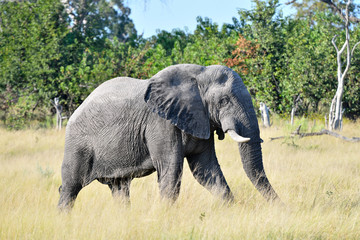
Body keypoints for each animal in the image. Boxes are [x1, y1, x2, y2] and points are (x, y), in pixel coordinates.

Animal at [57, 63, 280, 210]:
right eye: (224, 101)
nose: (282, 206)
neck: (198, 75)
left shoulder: (200, 118)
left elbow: (206, 170)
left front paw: (231, 209)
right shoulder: (160, 123)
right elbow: (171, 169)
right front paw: (165, 214)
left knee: (119, 187)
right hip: (77, 143)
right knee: (70, 187)